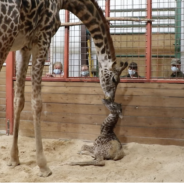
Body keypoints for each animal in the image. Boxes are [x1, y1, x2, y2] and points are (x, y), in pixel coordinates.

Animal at [0, 0, 126, 176]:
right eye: (115, 79)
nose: (111, 98)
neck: (63, 2)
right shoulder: (43, 37)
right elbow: (37, 103)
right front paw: (43, 166)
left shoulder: (24, 46)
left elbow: (19, 100)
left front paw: (13, 159)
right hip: (5, 39)